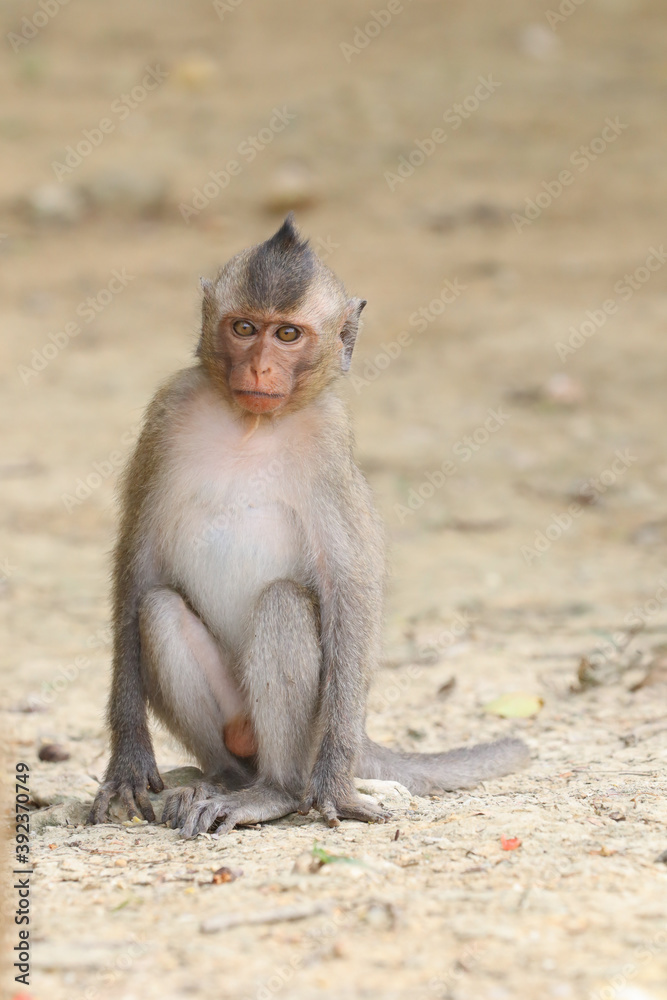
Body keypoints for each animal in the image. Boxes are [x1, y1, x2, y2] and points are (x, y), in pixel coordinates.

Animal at [88, 214, 529, 838]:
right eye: (244, 327)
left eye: (288, 335)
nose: (259, 367)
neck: (250, 424)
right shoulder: (166, 414)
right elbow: (139, 565)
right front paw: (128, 760)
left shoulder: (328, 440)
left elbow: (349, 587)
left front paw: (336, 789)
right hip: (233, 717)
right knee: (159, 608)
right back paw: (223, 778)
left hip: (312, 733)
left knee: (284, 603)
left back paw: (274, 791)